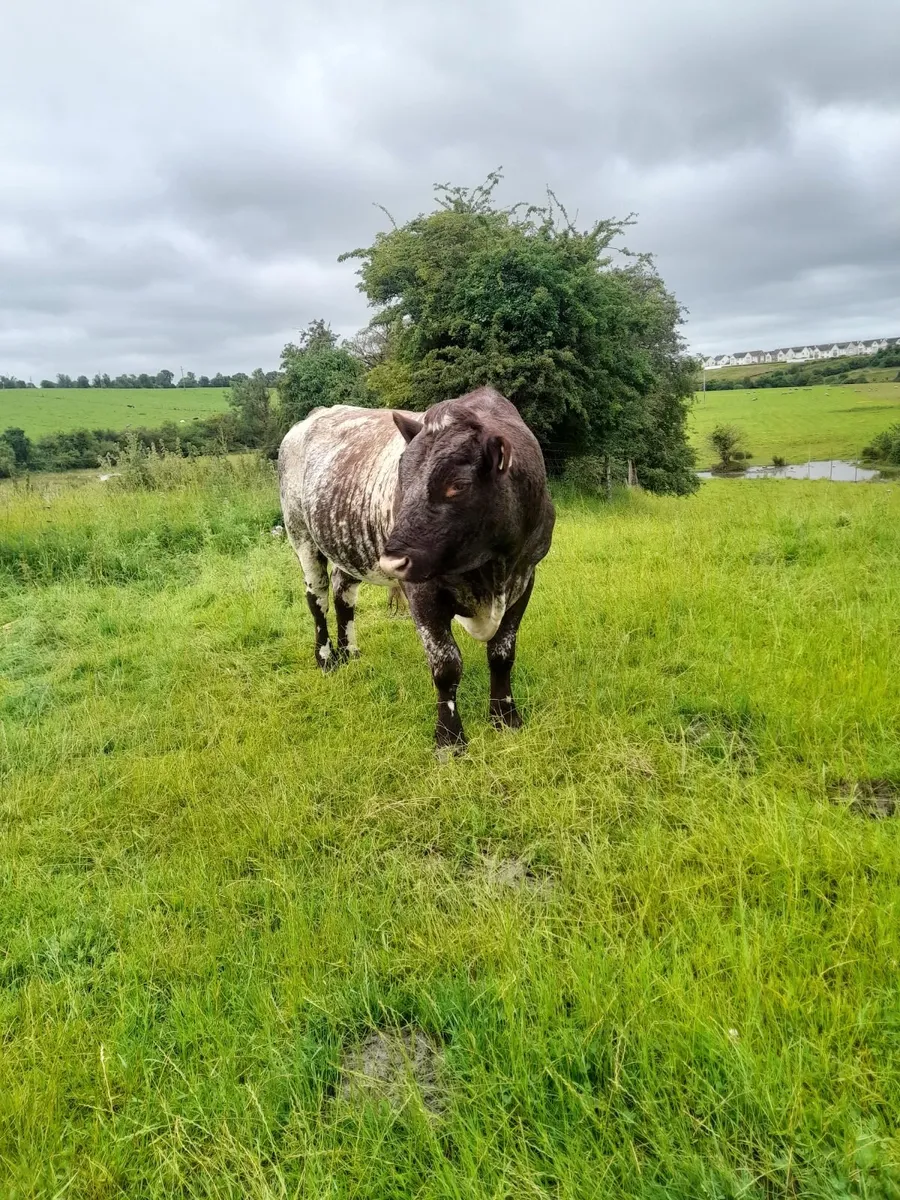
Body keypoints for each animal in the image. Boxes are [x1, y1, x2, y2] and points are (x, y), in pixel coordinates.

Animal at [278, 386, 555, 752]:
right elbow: (446, 666)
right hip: (301, 535)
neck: (492, 568)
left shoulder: (524, 578)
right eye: (401, 478)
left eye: (457, 484)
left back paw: (350, 653)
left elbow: (502, 653)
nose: (391, 561)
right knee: (318, 599)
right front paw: (450, 740)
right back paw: (326, 659)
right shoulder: (422, 592)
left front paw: (505, 718)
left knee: (342, 596)